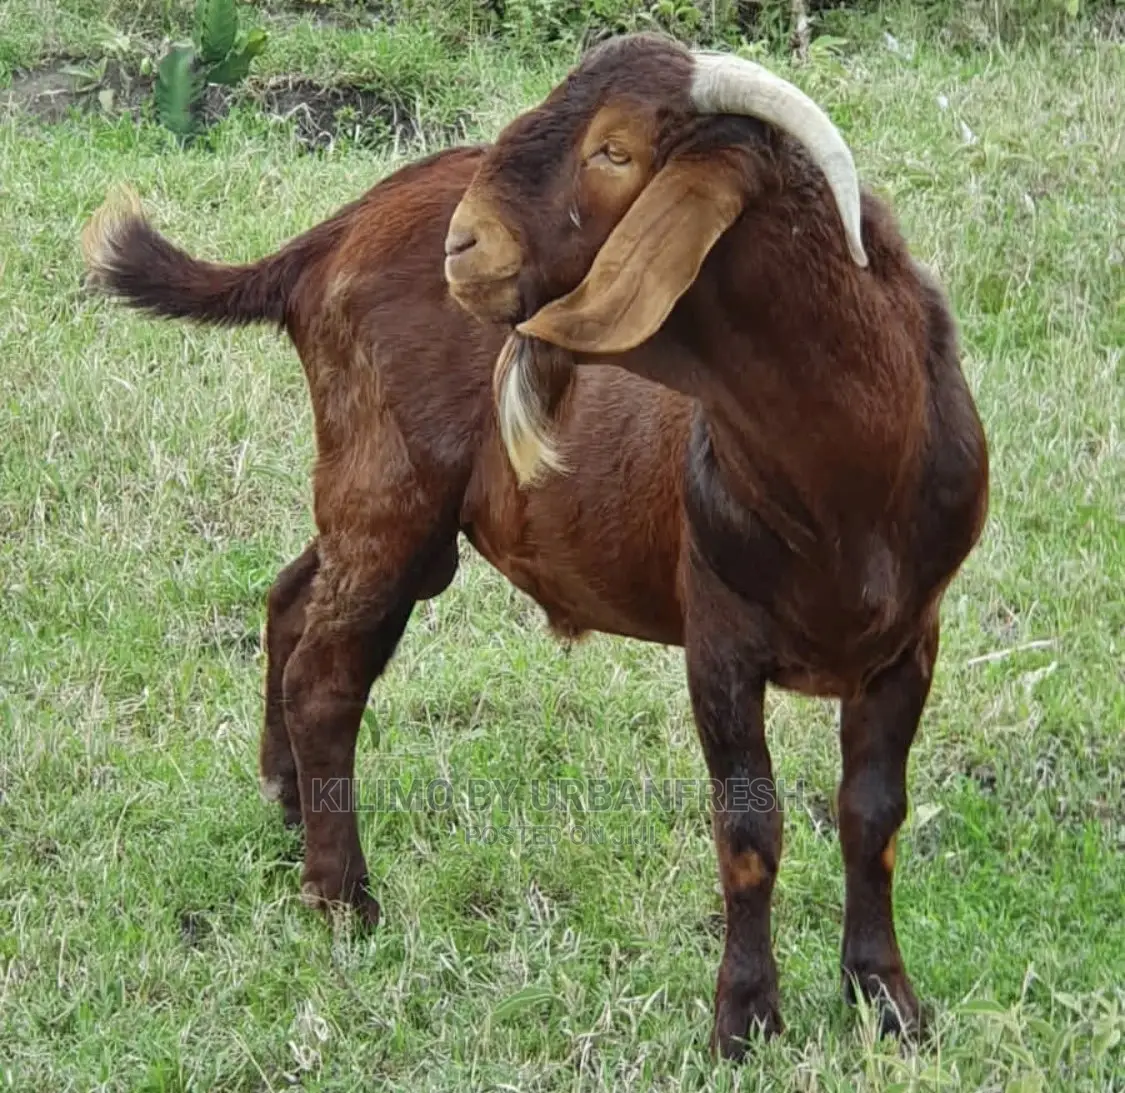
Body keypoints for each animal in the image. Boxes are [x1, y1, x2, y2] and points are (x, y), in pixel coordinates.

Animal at [81, 32, 987, 1061]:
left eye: (615, 151)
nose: (463, 248)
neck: (847, 474)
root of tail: (325, 241)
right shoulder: (719, 637)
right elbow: (750, 831)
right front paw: (745, 1021)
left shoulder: (910, 639)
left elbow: (871, 816)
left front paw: (887, 1001)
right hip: (386, 488)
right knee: (326, 673)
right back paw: (343, 897)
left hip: (391, 511)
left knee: (289, 596)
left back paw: (287, 805)